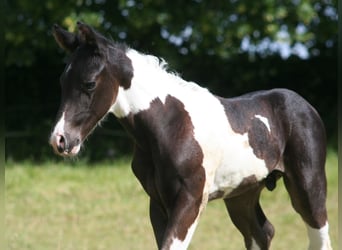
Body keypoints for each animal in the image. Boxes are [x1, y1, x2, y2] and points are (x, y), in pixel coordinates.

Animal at [49, 22, 332, 250]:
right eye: (61, 82)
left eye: (89, 84)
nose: (60, 140)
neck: (171, 125)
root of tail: (304, 105)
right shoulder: (157, 203)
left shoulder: (190, 200)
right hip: (242, 194)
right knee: (263, 233)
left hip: (308, 185)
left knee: (319, 238)